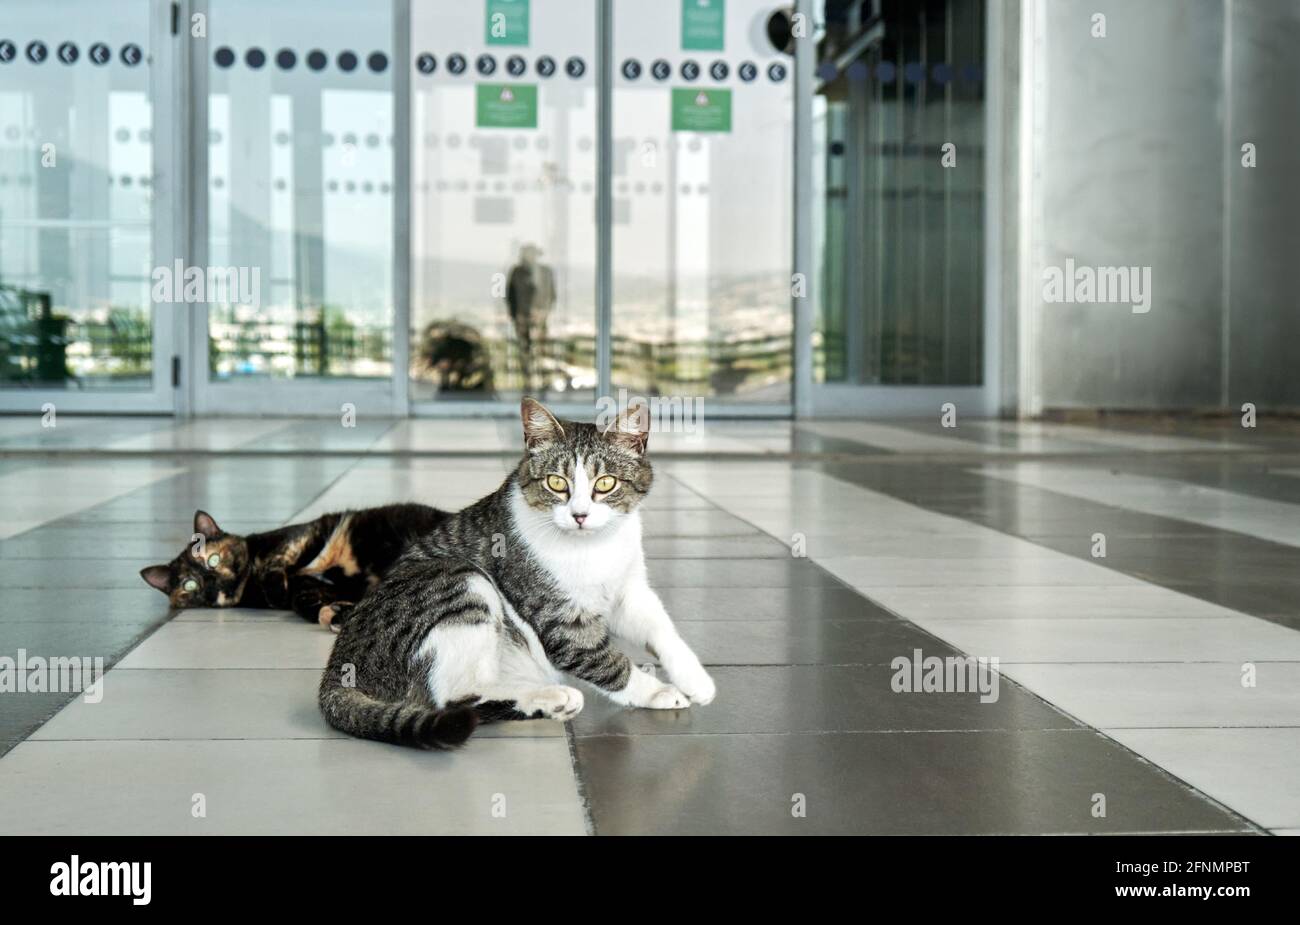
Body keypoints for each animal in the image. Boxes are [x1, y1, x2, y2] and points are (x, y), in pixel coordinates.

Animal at [143, 506, 452, 628]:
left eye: (213, 559)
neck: (250, 586)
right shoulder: (307, 587)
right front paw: (333, 612)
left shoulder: (298, 535)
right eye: (190, 585)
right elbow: (302, 600)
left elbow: (278, 558)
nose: (212, 584)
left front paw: (276, 590)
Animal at [318, 394, 717, 748]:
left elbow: (661, 628)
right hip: (460, 580)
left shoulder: (628, 592)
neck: (594, 548)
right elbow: (607, 661)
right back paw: (550, 697)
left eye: (605, 484)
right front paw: (658, 691)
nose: (580, 515)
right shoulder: (561, 618)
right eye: (557, 482)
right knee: (456, 699)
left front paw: (695, 678)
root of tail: (338, 666)